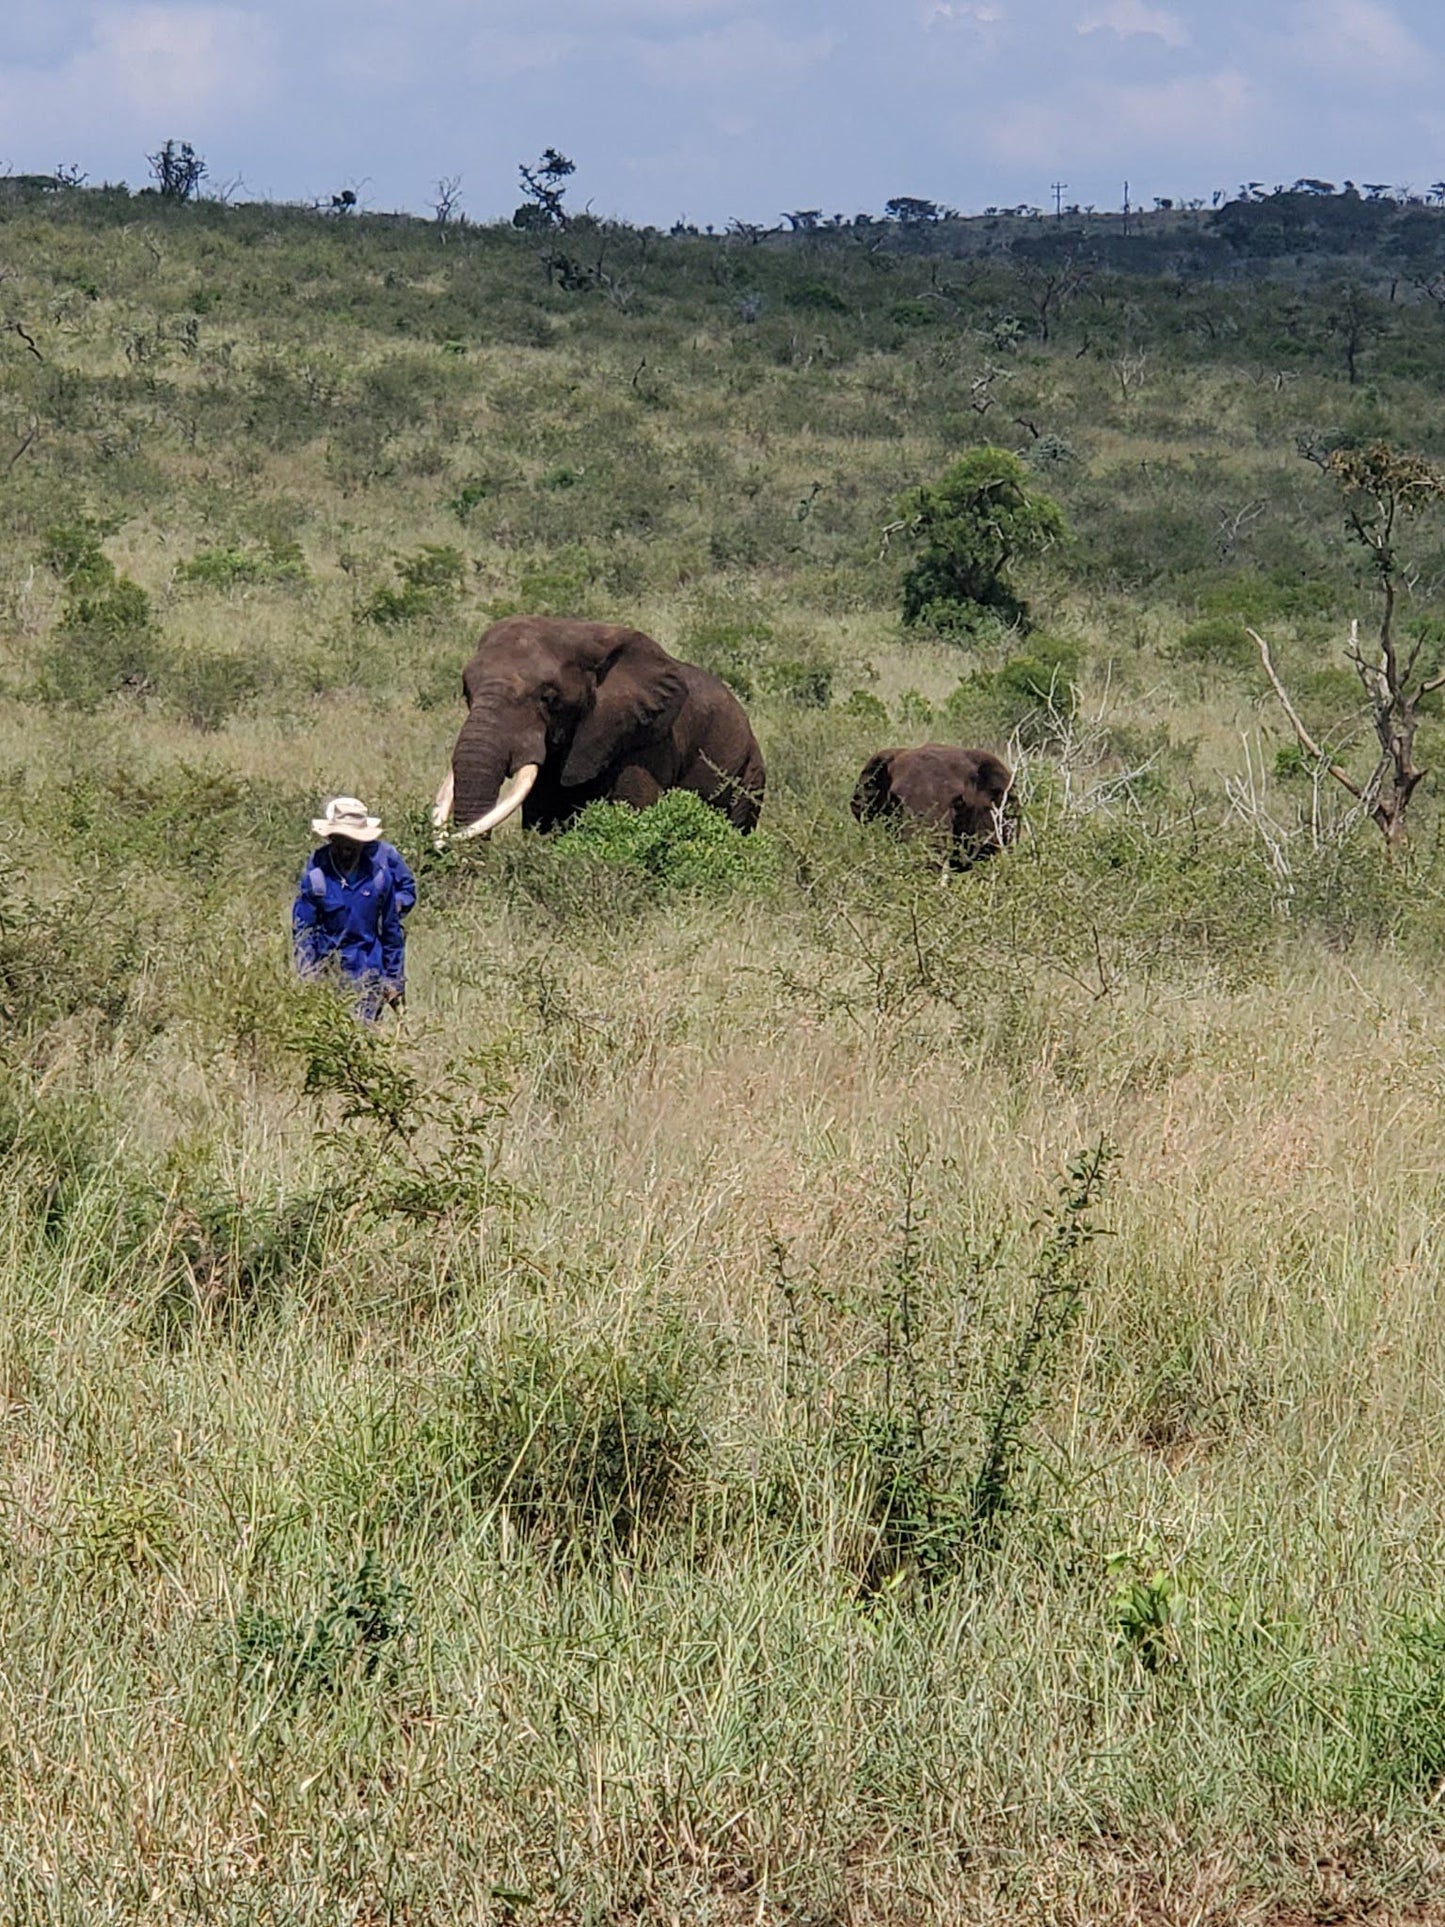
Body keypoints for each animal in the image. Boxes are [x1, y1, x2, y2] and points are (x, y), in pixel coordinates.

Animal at [433, 616, 762, 844]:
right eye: (467, 693)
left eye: (549, 698)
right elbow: (543, 816)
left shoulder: (643, 742)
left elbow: (632, 810)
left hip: (751, 772)